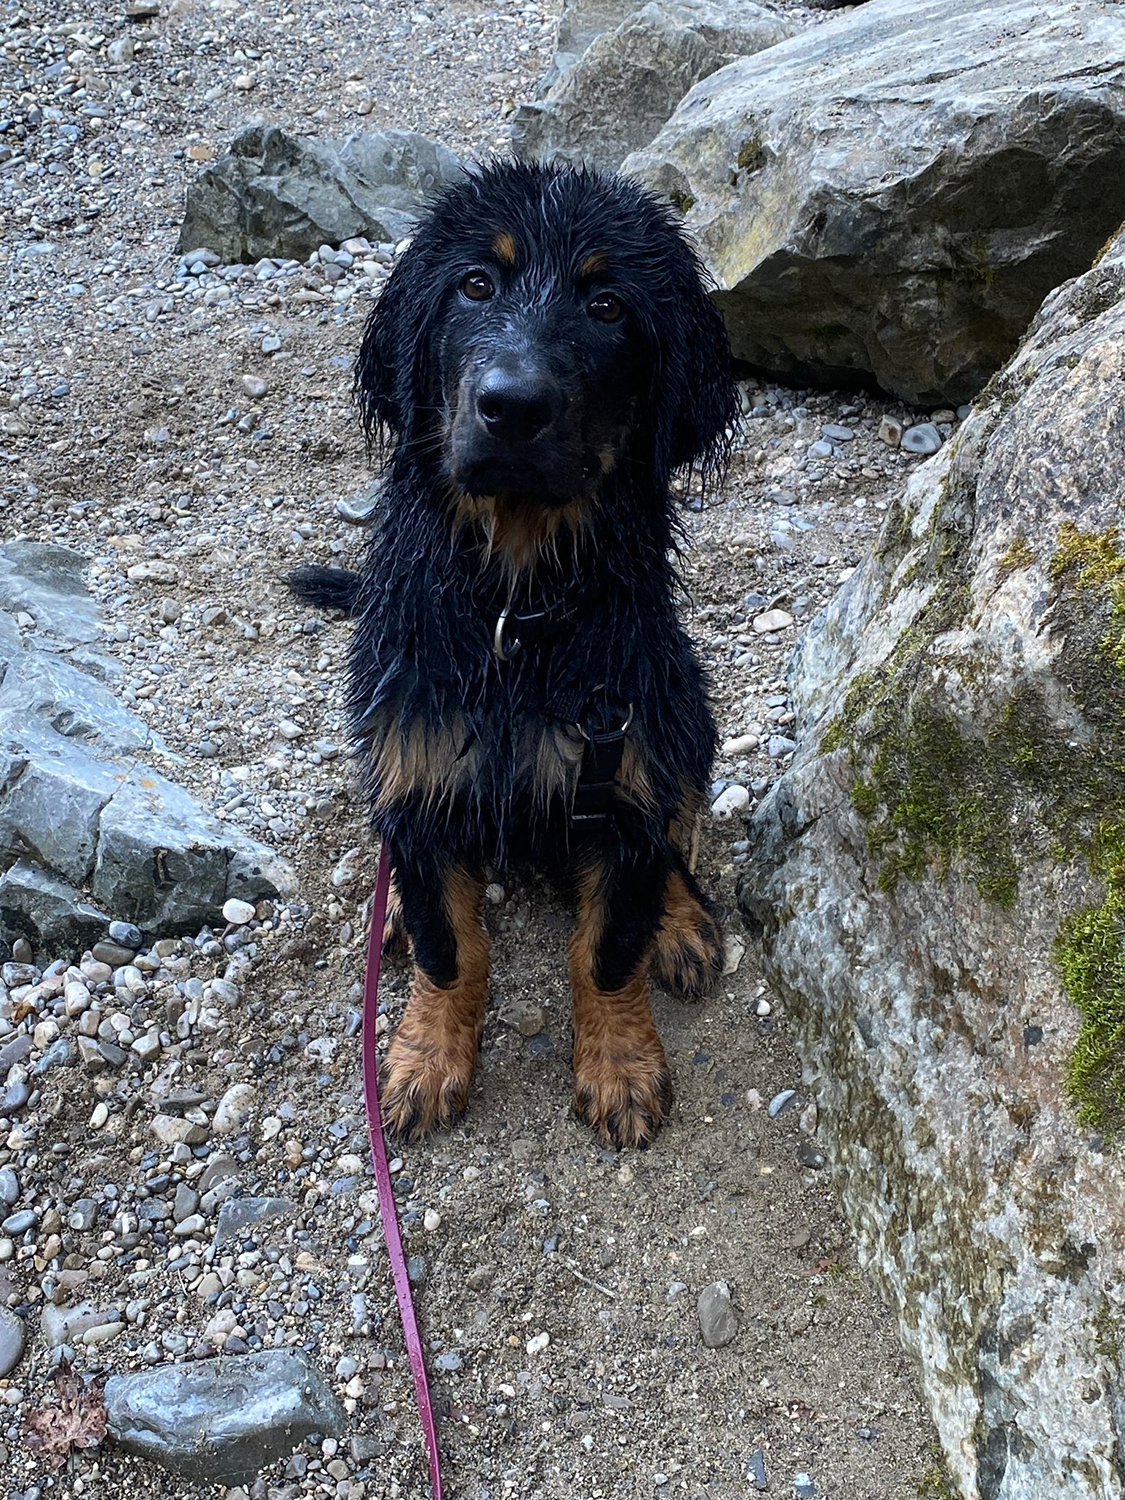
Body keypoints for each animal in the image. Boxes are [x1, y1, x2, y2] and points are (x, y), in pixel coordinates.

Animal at [292, 159, 739, 1148]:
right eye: (474, 285)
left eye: (607, 305)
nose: (511, 406)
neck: (515, 610)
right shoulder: (418, 768)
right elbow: (450, 949)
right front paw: (425, 1062)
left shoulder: (620, 767)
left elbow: (607, 947)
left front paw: (620, 1064)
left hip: (681, 696)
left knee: (680, 821)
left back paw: (680, 918)